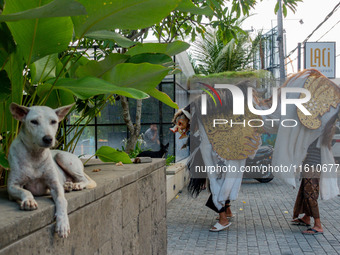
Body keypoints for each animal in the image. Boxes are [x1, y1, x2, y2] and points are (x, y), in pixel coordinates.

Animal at [6, 102, 97, 238]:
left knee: (84, 179)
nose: (48, 139)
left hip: (62, 157)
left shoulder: (55, 185)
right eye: (34, 122)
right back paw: (68, 185)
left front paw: (63, 224)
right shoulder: (12, 186)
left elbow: (62, 200)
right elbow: (25, 191)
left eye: (53, 121)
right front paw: (28, 201)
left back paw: (77, 185)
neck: (36, 154)